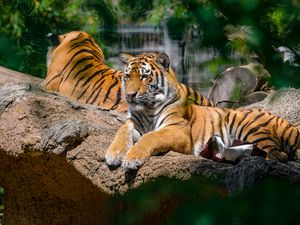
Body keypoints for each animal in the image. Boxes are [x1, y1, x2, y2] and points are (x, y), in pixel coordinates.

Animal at [104, 52, 298, 169]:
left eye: (144, 76)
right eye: (127, 76)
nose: (129, 95)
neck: (147, 109)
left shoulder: (178, 131)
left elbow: (151, 136)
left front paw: (132, 158)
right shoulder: (134, 123)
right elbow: (122, 130)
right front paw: (114, 154)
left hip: (248, 126)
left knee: (279, 153)